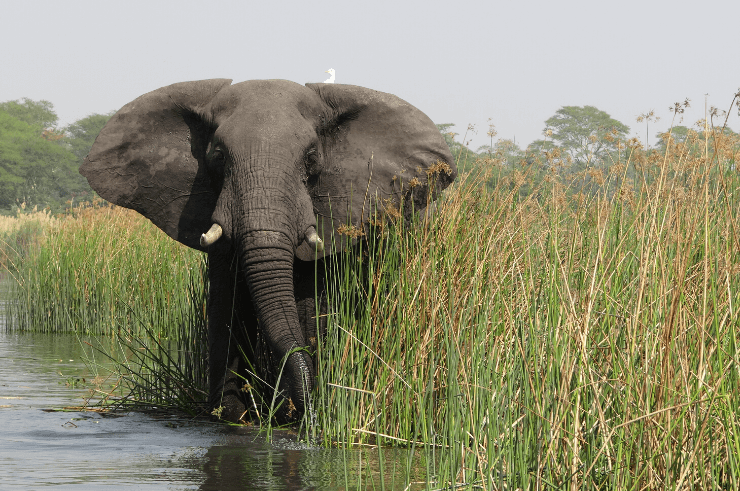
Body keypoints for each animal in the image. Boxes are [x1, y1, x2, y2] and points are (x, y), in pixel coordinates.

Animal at [78, 78, 454, 422]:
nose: (308, 413)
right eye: (218, 156)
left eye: (311, 158)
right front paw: (232, 415)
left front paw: (290, 415)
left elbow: (313, 308)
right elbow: (227, 307)